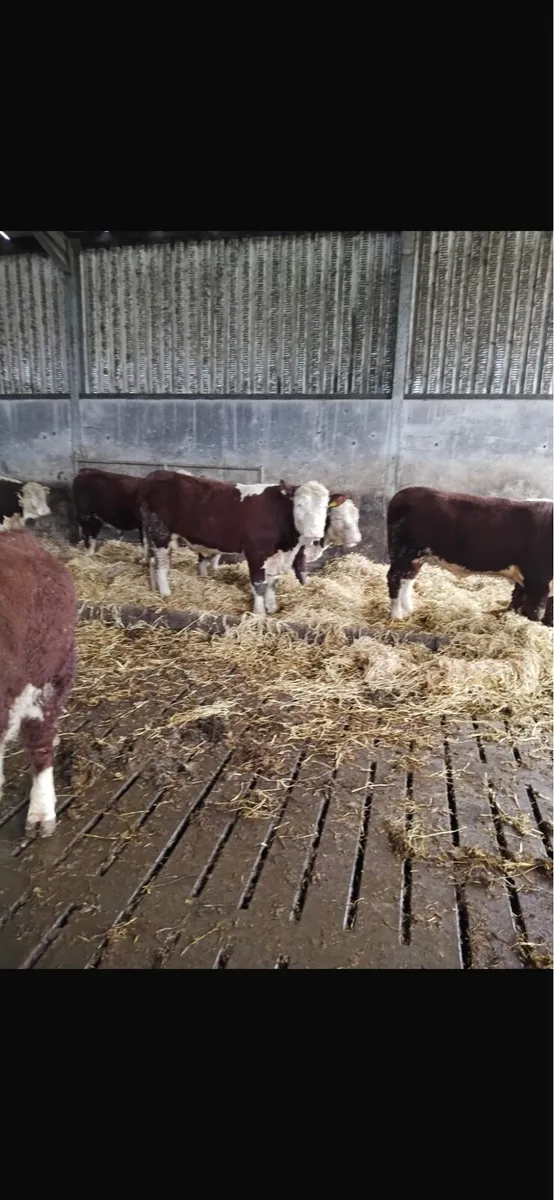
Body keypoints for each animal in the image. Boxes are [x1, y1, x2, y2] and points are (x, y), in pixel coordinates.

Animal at [138, 472, 331, 614]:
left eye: (325, 507)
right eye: (299, 505)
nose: (314, 534)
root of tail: (156, 475)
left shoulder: (275, 556)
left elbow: (272, 583)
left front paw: (272, 608)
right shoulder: (255, 552)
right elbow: (259, 584)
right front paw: (259, 613)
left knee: (153, 561)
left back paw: (154, 589)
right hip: (160, 532)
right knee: (161, 565)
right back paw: (165, 593)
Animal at [386, 486, 553, 626]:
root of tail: (403, 493)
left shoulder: (525, 580)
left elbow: (517, 604)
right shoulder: (538, 581)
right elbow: (534, 613)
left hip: (416, 557)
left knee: (408, 578)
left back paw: (408, 610)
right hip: (404, 552)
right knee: (395, 578)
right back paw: (397, 615)